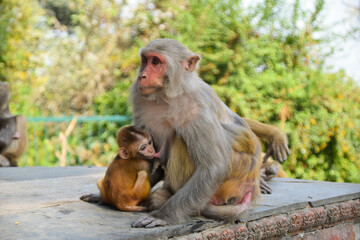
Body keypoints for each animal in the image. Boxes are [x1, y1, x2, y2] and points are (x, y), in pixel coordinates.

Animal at [130, 39, 290, 227]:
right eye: (145, 60)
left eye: (155, 62)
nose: (142, 76)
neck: (168, 95)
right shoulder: (139, 95)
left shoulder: (195, 108)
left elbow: (214, 167)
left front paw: (162, 216)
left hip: (230, 182)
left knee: (180, 137)